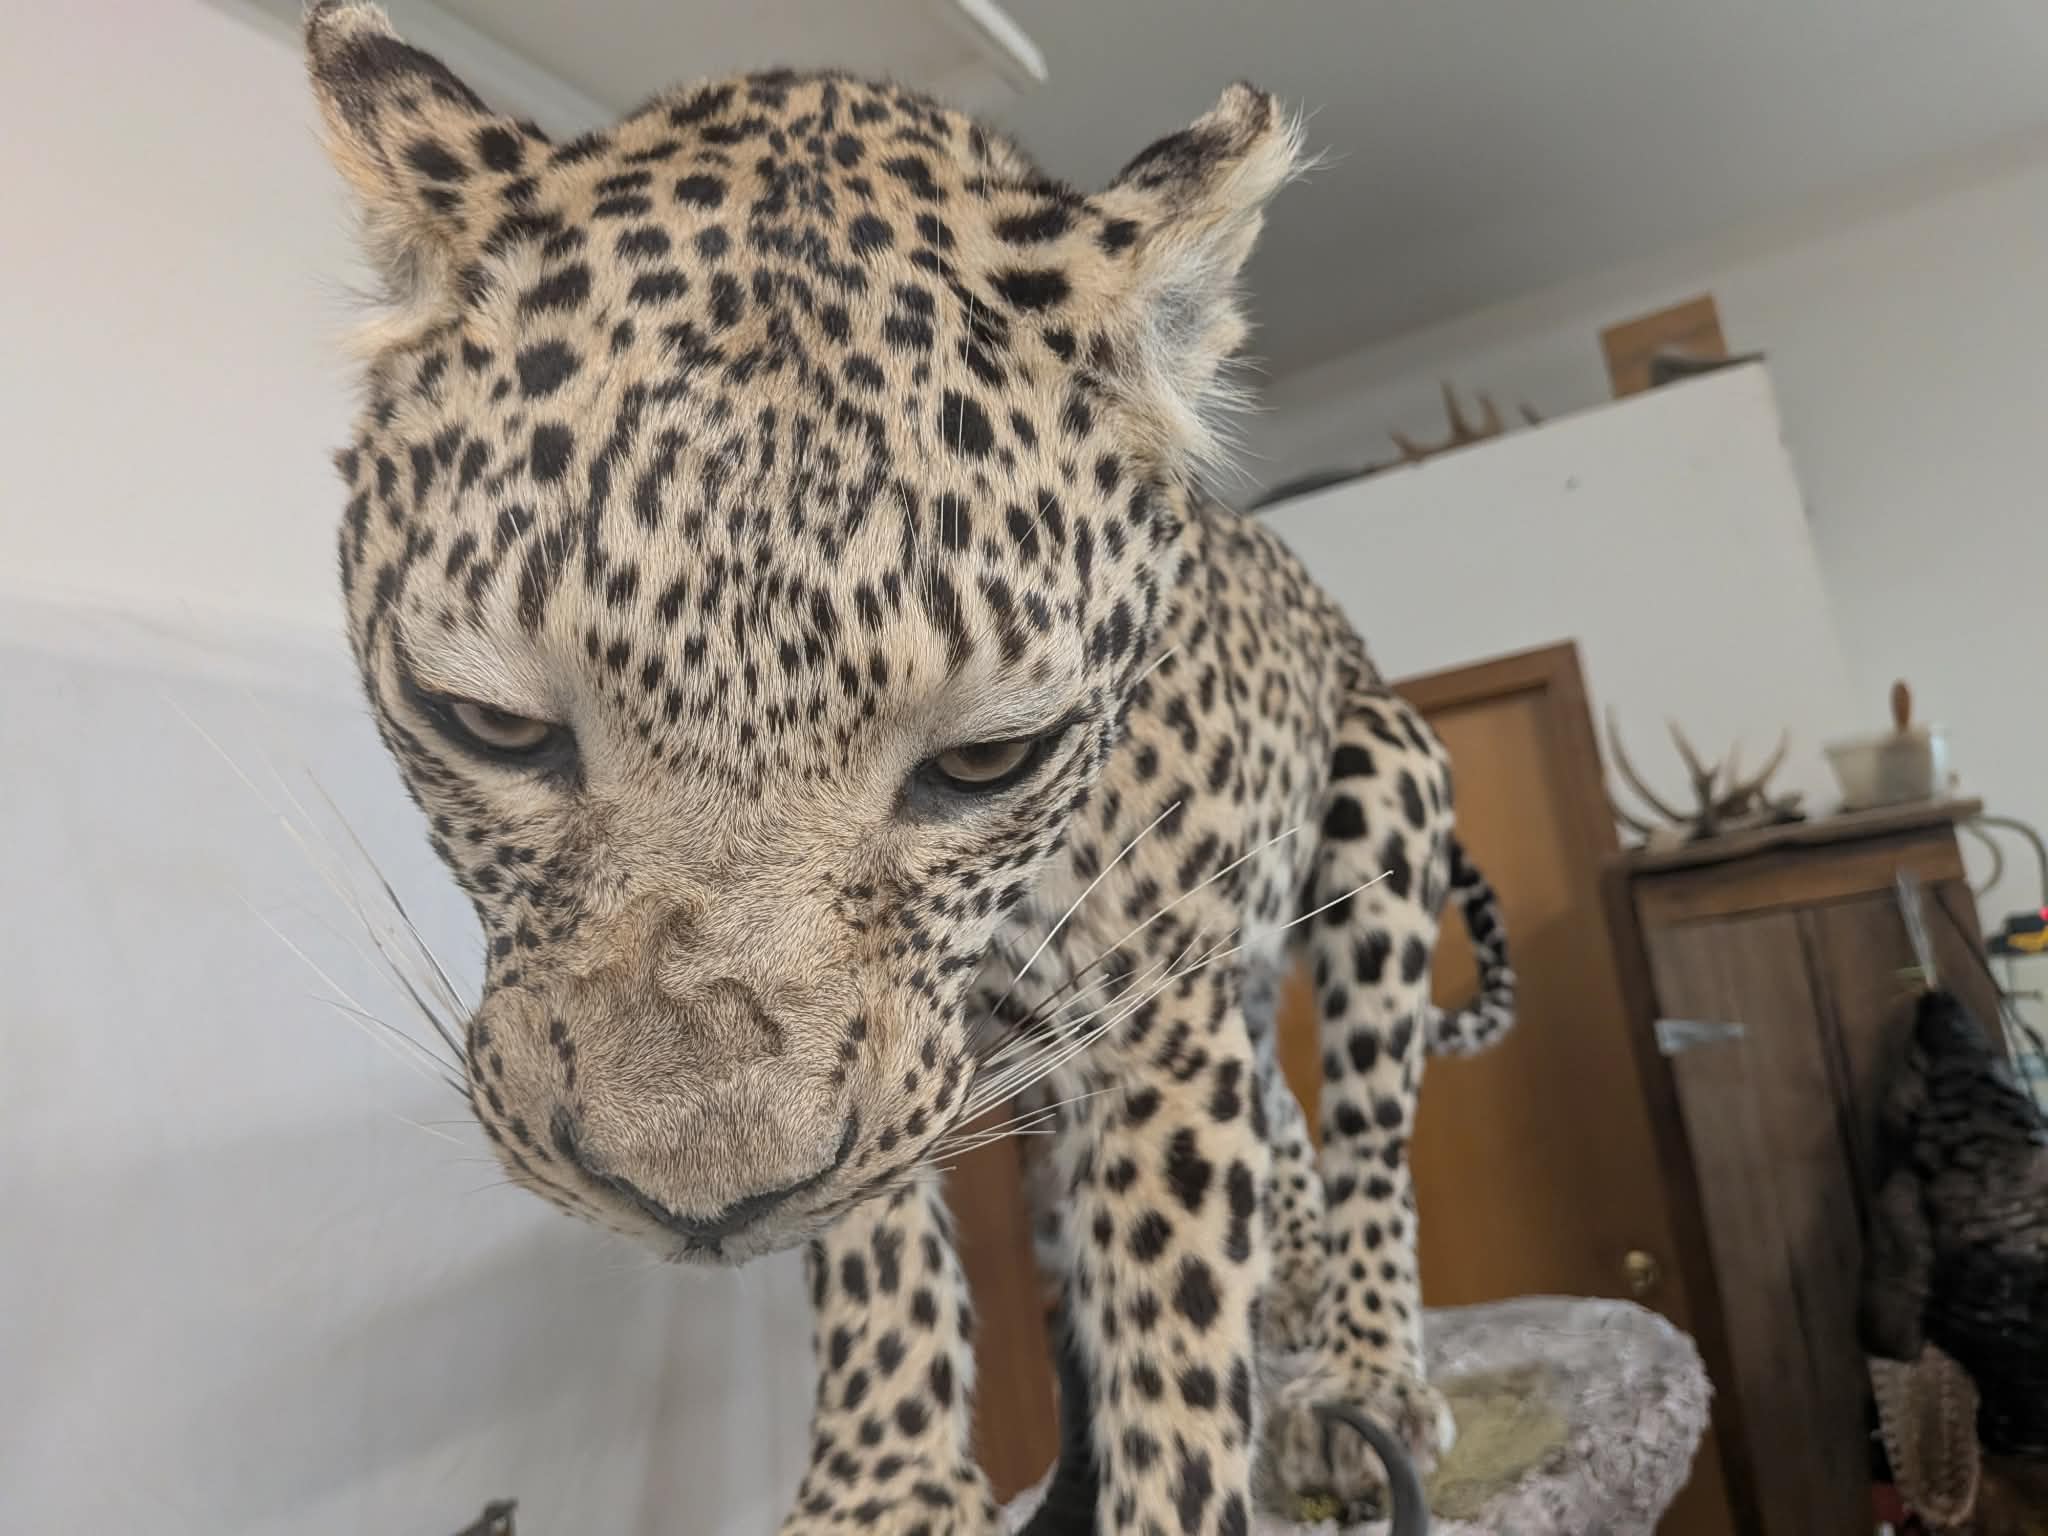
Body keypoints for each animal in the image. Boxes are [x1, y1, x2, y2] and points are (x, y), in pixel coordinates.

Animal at [300, 4, 1516, 1530]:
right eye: (493, 728)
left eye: (988, 759)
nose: (696, 1211)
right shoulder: (905, 1064)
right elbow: (864, 1214)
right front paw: (877, 1482)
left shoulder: (1155, 1027)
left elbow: (1173, 1319)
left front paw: (1177, 1475)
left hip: (1384, 819)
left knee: (1364, 1132)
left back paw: (1361, 1369)